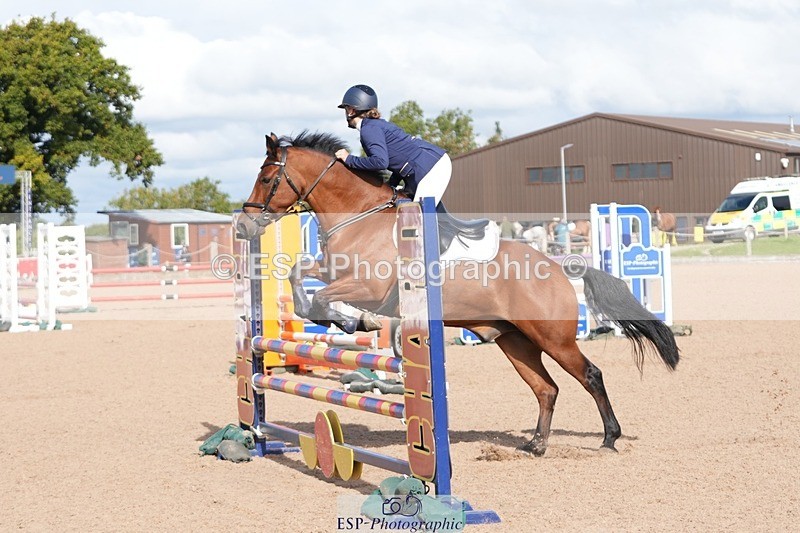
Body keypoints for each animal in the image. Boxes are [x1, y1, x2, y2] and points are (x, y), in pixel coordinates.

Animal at [238, 131, 680, 457]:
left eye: (267, 178)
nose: (242, 226)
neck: (359, 216)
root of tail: (558, 267)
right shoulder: (333, 271)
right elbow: (299, 276)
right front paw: (338, 318)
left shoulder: (370, 287)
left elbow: (325, 296)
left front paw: (353, 320)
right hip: (515, 341)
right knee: (546, 389)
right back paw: (536, 445)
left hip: (552, 337)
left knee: (590, 375)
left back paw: (609, 439)